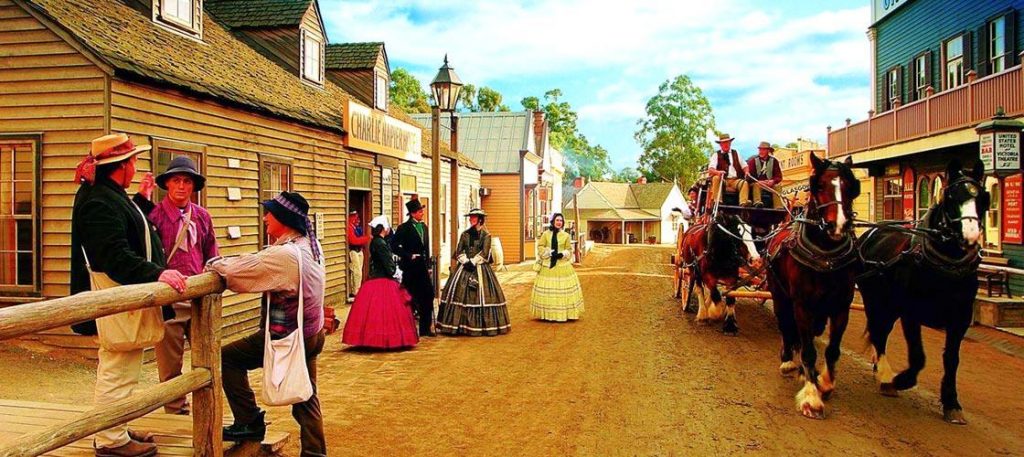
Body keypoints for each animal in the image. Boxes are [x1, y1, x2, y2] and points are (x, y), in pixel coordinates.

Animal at [770, 153, 864, 418]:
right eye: (819, 186)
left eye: (850, 187)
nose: (838, 226)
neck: (825, 256)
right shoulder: (802, 305)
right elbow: (809, 350)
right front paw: (812, 397)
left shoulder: (841, 306)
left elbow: (832, 349)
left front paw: (825, 383)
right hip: (780, 295)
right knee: (785, 325)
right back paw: (788, 361)